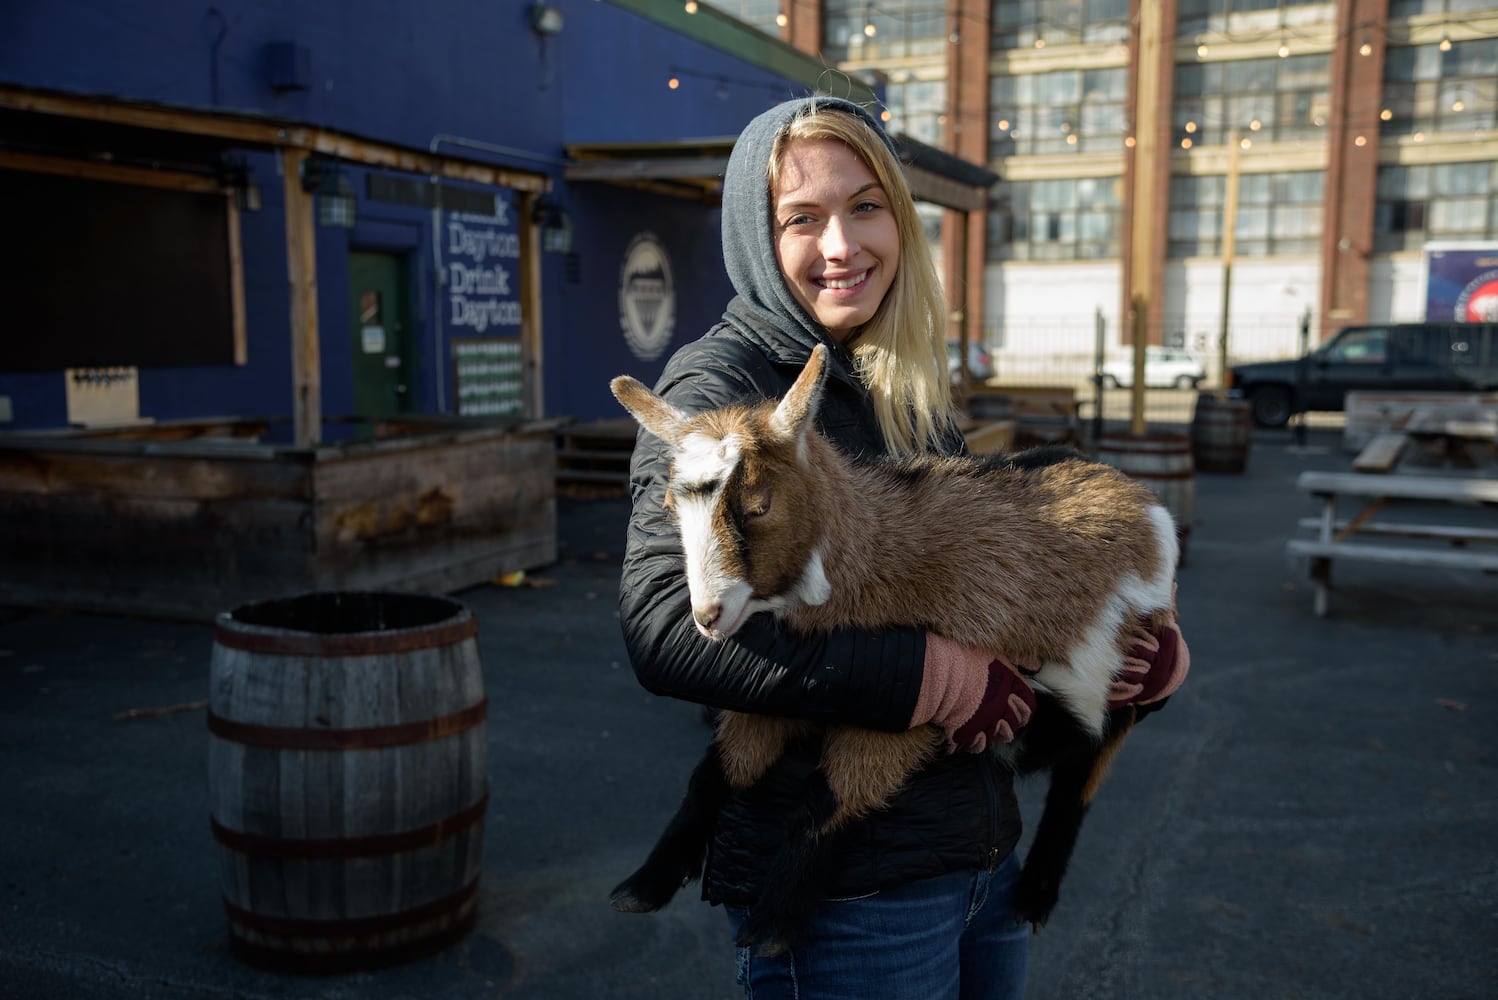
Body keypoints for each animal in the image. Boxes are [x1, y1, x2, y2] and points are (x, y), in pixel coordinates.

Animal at [608, 344, 1180, 952]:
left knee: (1077, 787)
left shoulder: (908, 717)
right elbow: (718, 772)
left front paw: (769, 927)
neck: (874, 553)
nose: (707, 617)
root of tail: (1142, 499)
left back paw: (1034, 896)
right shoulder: (787, 695)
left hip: (1125, 680)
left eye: (758, 506)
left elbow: (824, 805)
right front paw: (644, 884)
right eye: (670, 505)